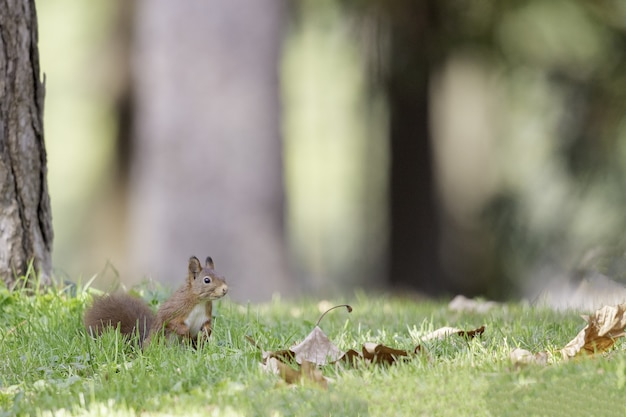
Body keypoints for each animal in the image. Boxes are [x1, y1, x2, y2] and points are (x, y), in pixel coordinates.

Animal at [84, 255, 228, 346]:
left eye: (223, 276)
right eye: (207, 280)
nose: (225, 289)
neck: (200, 302)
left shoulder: (206, 315)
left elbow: (208, 325)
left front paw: (205, 334)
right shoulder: (176, 309)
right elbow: (171, 322)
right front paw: (186, 333)